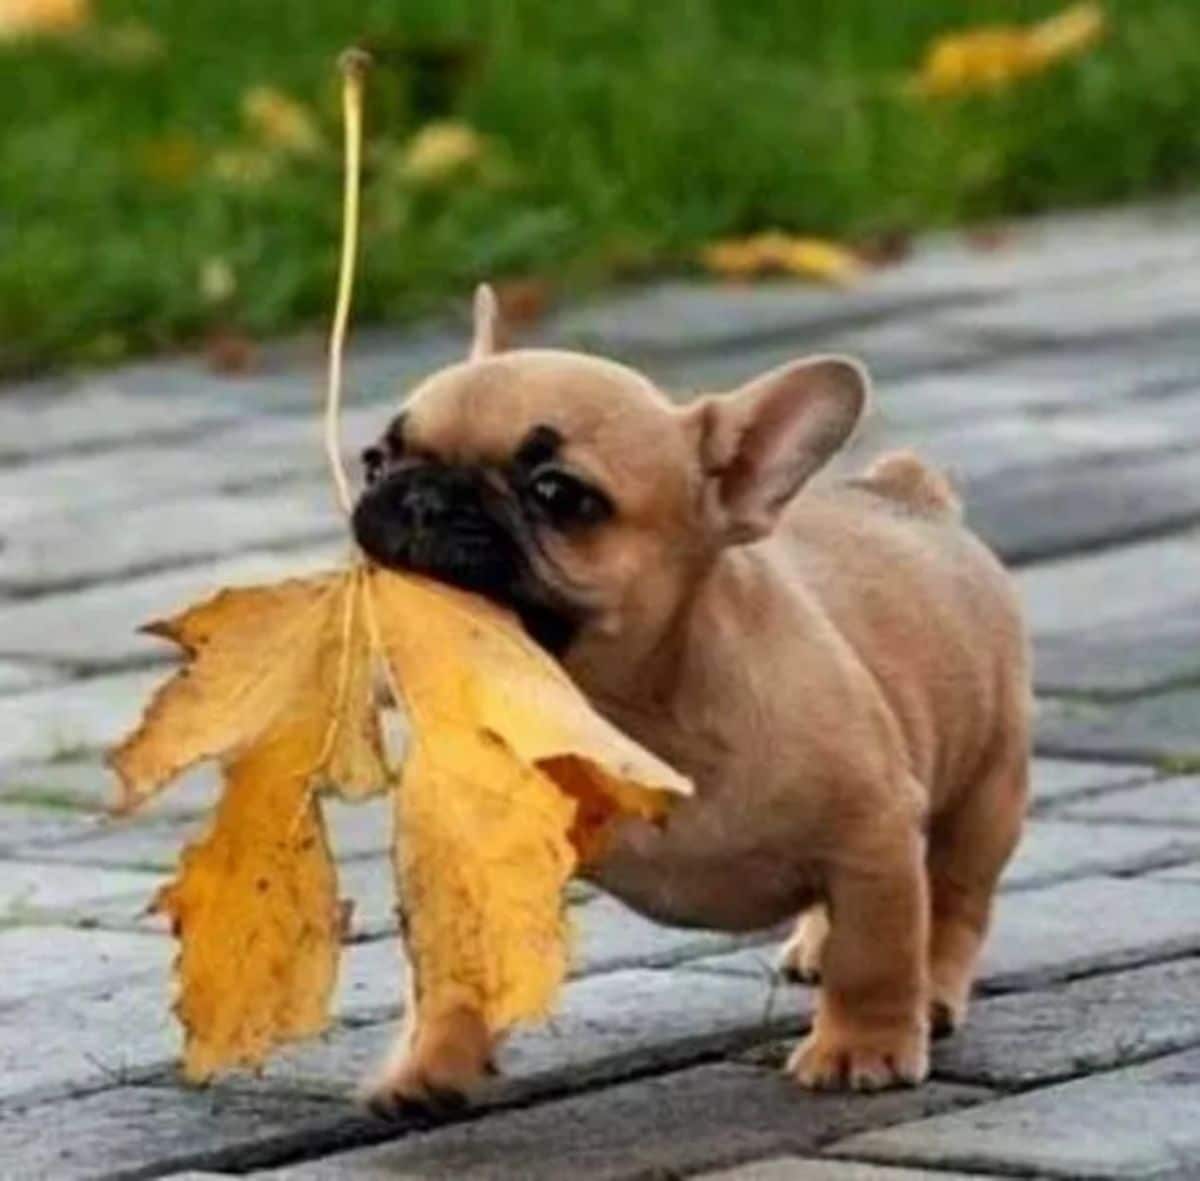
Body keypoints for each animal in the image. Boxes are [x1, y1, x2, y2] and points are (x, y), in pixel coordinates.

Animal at [350, 280, 1027, 1113]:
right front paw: (429, 1063)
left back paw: (930, 988)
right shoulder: (465, 859)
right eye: (376, 460)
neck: (614, 714)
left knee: (955, 897)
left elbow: (876, 952)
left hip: (988, 786)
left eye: (557, 491)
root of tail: (908, 491)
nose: (420, 496)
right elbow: (453, 970)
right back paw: (816, 945)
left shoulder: (871, 831)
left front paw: (862, 1045)